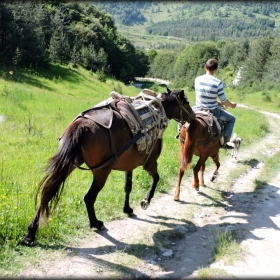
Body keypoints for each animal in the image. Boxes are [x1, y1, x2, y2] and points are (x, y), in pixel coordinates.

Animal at [23, 87, 196, 245]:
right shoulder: (150, 163)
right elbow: (156, 179)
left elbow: (128, 187)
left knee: (48, 191)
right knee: (89, 197)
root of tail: (81, 125)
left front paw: (128, 209)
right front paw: (145, 201)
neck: (158, 109)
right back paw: (96, 223)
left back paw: (31, 233)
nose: (193, 117)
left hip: (69, 164)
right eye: (186, 103)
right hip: (102, 172)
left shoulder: (129, 165)